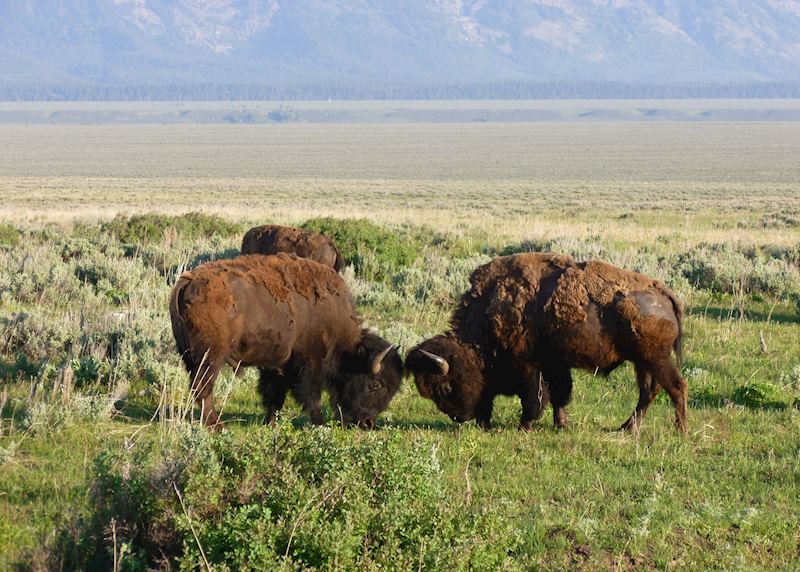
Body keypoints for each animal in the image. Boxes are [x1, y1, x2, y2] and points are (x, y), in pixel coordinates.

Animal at [169, 253, 402, 429]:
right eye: (375, 384)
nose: (368, 423)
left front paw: (271, 423)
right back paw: (216, 426)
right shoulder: (309, 364)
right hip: (211, 357)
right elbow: (311, 396)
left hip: (189, 356)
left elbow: (274, 395)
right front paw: (320, 424)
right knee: (203, 388)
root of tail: (187, 281)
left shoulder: (276, 364)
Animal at [406, 253, 687, 433]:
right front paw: (560, 424)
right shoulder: (555, 364)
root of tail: (663, 292)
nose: (458, 417)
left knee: (676, 387)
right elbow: (560, 394)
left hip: (656, 359)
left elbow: (534, 398)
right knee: (649, 391)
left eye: (445, 387)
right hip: (642, 362)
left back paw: (679, 429)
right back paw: (627, 428)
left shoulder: (529, 366)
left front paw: (524, 427)